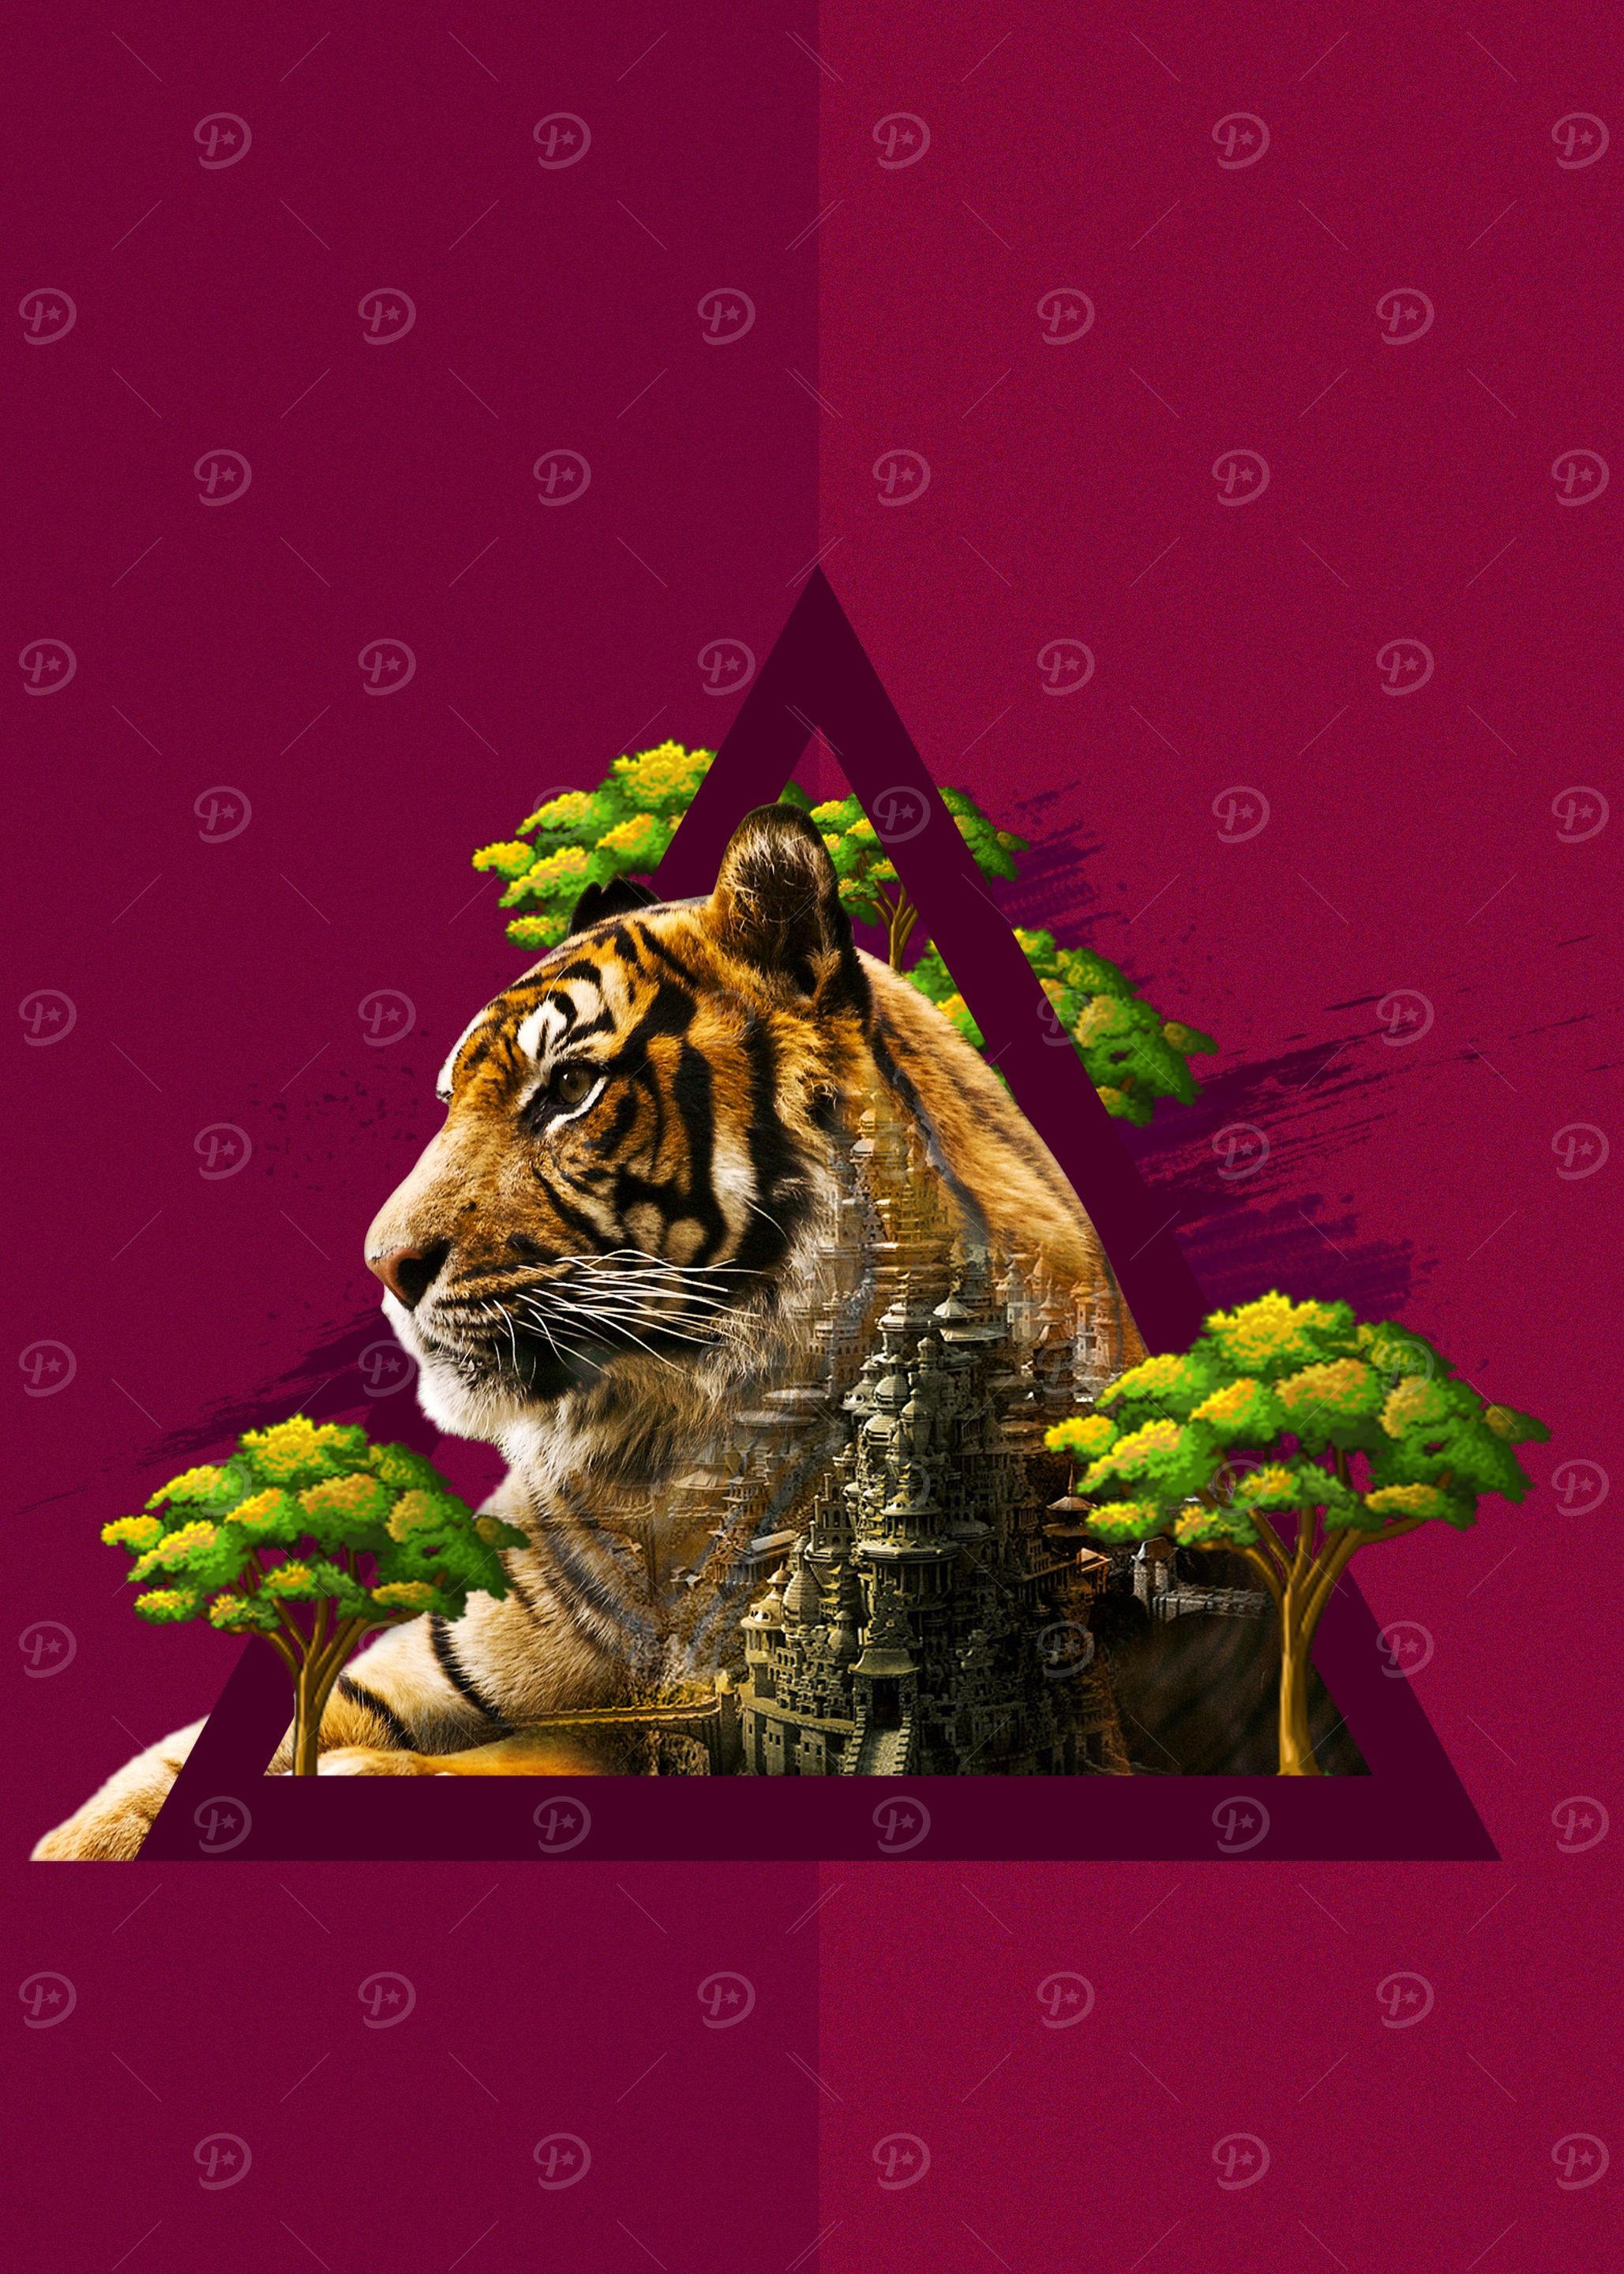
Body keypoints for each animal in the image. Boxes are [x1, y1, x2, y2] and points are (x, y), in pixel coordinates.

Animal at [35, 803, 1139, 1857]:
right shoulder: (420, 1668)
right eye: (451, 1101)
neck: (660, 1457)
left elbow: (549, 1753)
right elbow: (140, 1788)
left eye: (568, 1088)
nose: (383, 1265)